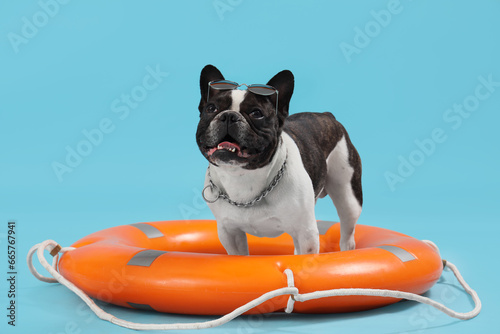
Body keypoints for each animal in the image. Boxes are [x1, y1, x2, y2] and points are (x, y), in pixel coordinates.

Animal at [196, 64, 364, 254]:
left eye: (256, 113)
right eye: (211, 109)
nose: (229, 115)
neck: (242, 176)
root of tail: (327, 115)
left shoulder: (305, 232)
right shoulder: (229, 232)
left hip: (349, 197)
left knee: (347, 233)